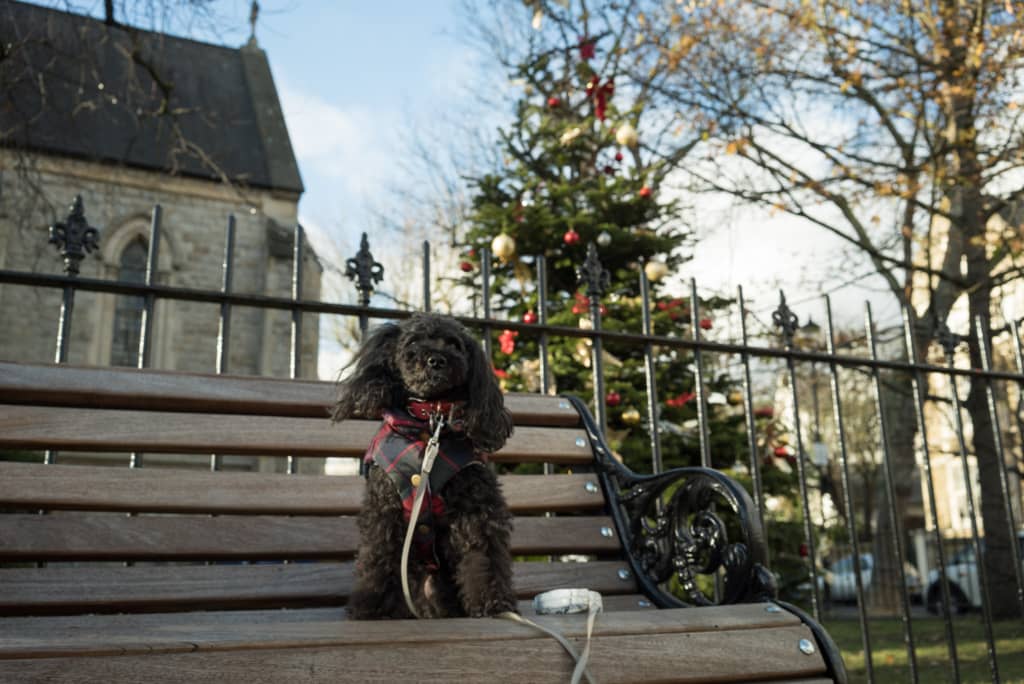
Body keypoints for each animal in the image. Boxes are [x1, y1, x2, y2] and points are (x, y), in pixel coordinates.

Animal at [331, 313, 516, 618]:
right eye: (413, 342)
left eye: (454, 345)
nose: (437, 360)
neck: (429, 422)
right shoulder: (384, 505)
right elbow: (377, 554)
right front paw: (370, 606)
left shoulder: (475, 505)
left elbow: (483, 553)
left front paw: (492, 602)